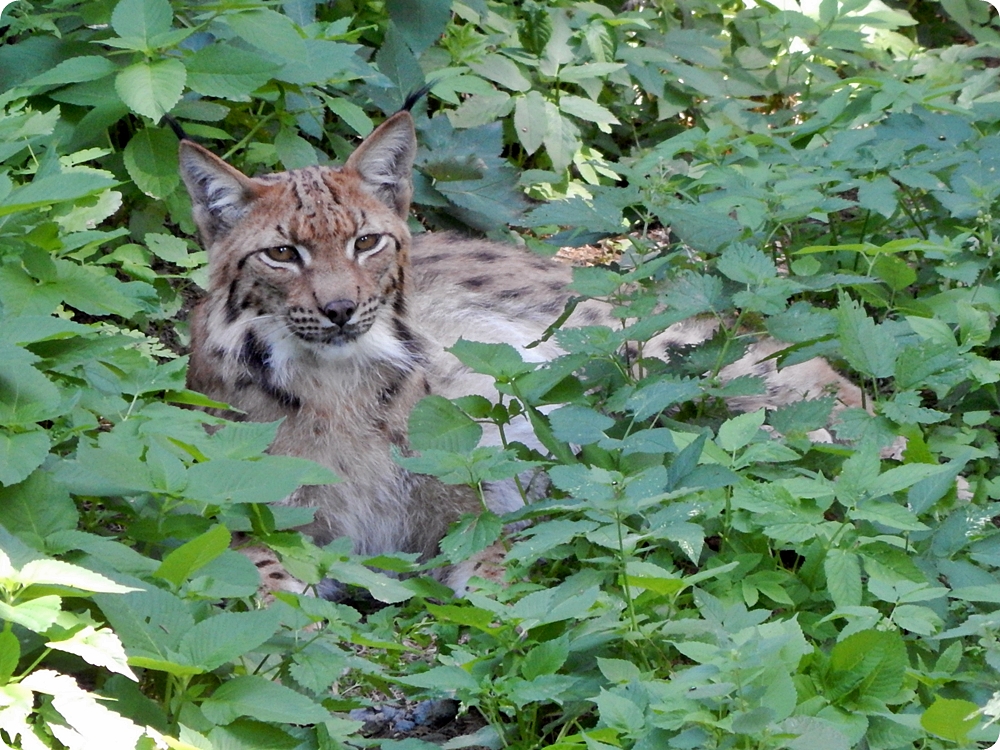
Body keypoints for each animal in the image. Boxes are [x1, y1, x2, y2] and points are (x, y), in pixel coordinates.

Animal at [179, 110, 866, 596]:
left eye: (366, 242)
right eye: (281, 253)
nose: (341, 310)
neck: (334, 376)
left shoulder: (484, 492)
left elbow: (509, 551)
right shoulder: (240, 505)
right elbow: (247, 568)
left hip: (626, 343)